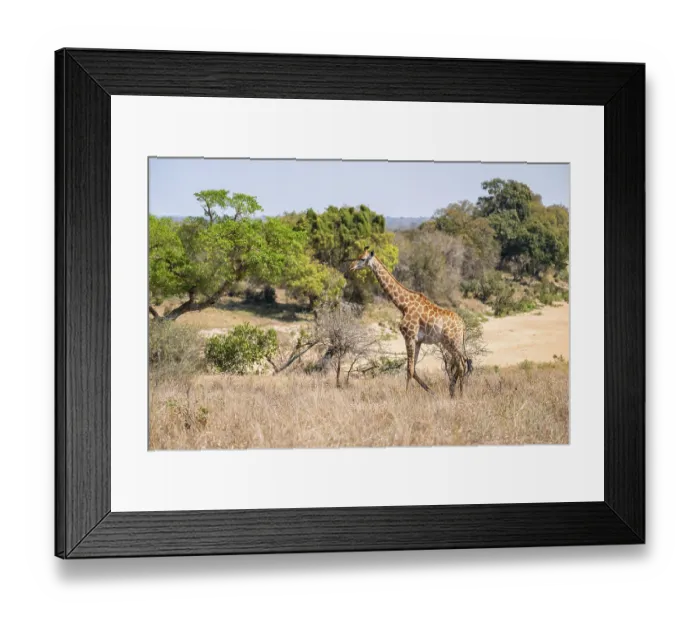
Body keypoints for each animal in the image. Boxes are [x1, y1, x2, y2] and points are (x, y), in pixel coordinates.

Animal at [350, 247, 469, 398]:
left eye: (362, 259)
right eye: (358, 255)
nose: (351, 266)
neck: (403, 305)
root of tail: (463, 325)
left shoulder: (409, 336)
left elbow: (409, 369)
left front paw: (406, 395)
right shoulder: (417, 340)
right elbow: (414, 369)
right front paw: (432, 392)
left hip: (453, 342)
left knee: (462, 364)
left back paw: (460, 394)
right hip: (448, 343)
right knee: (461, 363)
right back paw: (453, 393)